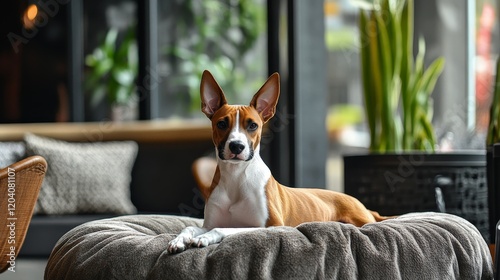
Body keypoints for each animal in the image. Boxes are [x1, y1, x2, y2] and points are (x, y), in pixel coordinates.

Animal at [167, 70, 386, 254]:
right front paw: (178, 240)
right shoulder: (208, 223)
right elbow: (190, 226)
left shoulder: (269, 226)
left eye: (253, 125)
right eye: (221, 124)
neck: (237, 177)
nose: (237, 146)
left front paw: (204, 238)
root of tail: (364, 207)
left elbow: (224, 228)